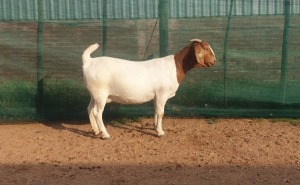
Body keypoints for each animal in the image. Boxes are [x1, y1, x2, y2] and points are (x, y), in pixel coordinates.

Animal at [82, 39, 216, 139]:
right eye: (205, 48)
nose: (214, 61)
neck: (175, 66)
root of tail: (88, 61)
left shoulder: (156, 96)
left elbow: (156, 111)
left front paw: (155, 126)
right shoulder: (162, 94)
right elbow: (161, 112)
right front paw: (160, 132)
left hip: (94, 94)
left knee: (89, 109)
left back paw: (95, 131)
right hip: (101, 94)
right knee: (97, 112)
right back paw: (105, 134)